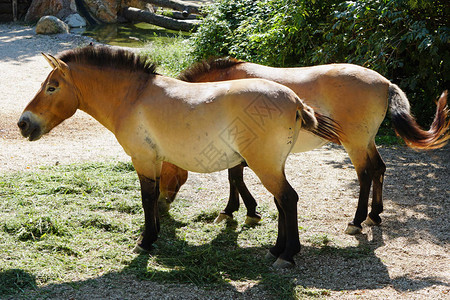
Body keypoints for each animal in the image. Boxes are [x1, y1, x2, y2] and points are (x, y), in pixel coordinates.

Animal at [16, 46, 342, 268]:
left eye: (52, 87)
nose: (23, 124)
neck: (134, 97)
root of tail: (295, 101)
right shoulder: (156, 160)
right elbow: (156, 196)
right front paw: (155, 234)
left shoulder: (143, 159)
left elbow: (147, 197)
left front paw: (145, 241)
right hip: (271, 166)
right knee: (281, 201)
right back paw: (276, 249)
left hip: (265, 166)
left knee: (288, 199)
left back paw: (286, 255)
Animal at [160, 56, 448, 234]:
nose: (163, 202)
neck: (216, 92)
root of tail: (385, 83)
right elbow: (235, 177)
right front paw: (242, 211)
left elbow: (234, 177)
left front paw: (235, 211)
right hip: (366, 141)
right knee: (379, 168)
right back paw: (374, 214)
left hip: (354, 143)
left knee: (365, 174)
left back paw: (356, 221)